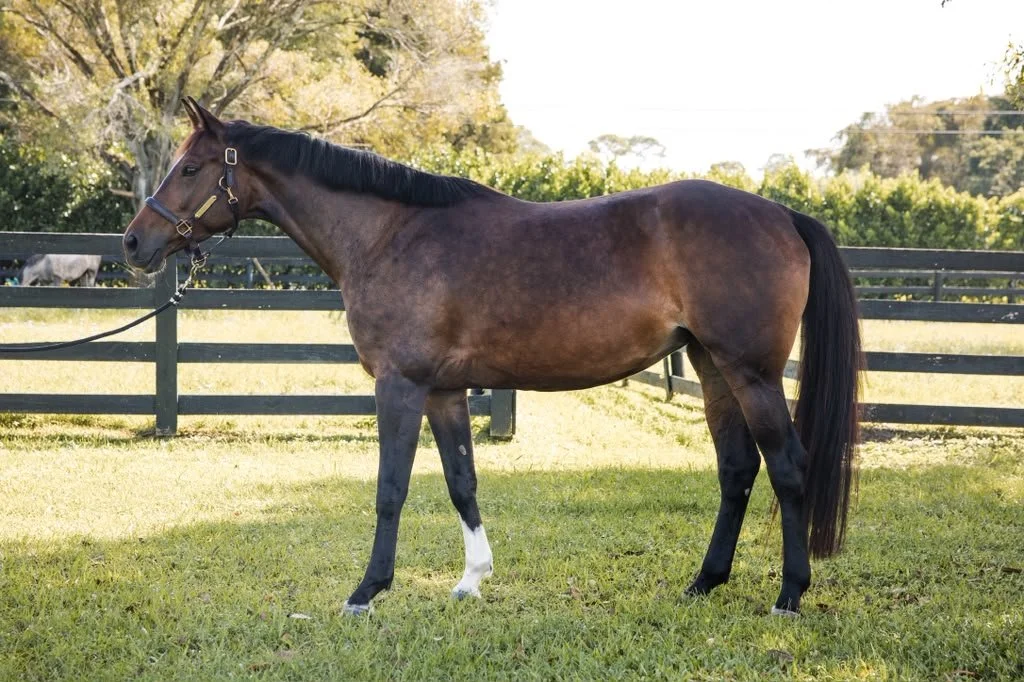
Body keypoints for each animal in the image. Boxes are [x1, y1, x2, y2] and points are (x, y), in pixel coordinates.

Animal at [122, 98, 861, 616]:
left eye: (191, 168)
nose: (133, 242)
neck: (390, 233)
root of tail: (782, 215)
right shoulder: (445, 392)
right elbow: (461, 482)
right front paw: (471, 580)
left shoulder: (399, 385)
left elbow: (390, 489)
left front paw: (367, 591)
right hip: (711, 368)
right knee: (737, 470)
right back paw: (704, 583)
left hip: (753, 374)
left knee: (787, 468)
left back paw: (789, 595)